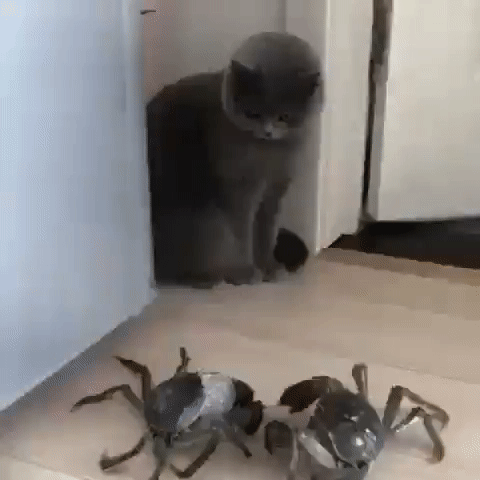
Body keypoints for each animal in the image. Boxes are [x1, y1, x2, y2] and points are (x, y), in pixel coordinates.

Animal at [147, 32, 322, 288]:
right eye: (253, 113)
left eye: (284, 116)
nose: (268, 131)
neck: (270, 154)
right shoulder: (239, 187)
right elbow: (243, 232)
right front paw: (247, 271)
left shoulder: (277, 186)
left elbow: (267, 229)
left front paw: (270, 267)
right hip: (200, 223)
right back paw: (208, 278)